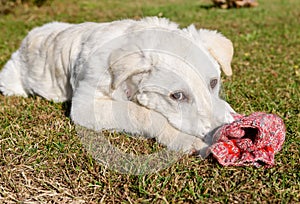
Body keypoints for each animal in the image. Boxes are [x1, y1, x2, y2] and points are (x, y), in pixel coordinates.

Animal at [0, 17, 234, 158]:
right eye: (177, 96)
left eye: (213, 82)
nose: (222, 132)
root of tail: (30, 35)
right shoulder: (85, 106)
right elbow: (142, 113)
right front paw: (186, 140)